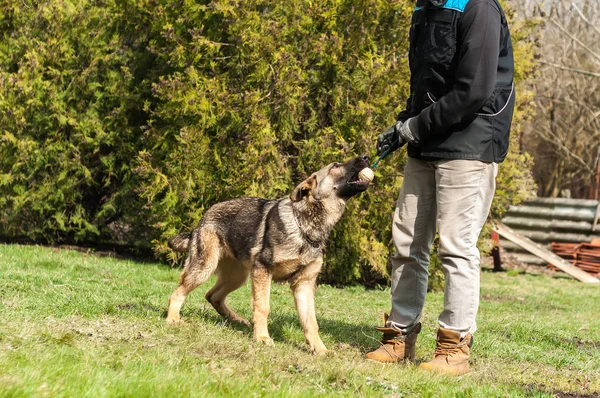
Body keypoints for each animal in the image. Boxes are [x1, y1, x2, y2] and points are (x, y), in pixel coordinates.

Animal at [165, 154, 370, 352]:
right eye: (335, 166)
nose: (366, 157)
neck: (304, 227)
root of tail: (202, 219)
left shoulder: (303, 284)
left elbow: (310, 321)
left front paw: (319, 349)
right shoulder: (263, 271)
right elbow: (263, 307)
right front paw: (262, 337)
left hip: (238, 277)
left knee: (212, 296)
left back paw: (236, 319)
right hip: (204, 268)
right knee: (178, 292)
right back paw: (173, 319)